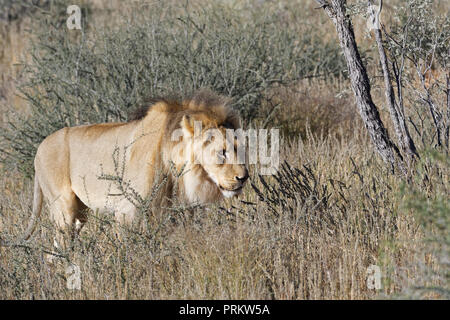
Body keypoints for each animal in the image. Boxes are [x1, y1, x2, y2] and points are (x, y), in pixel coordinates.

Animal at [1, 90, 248, 248]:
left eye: (241, 148)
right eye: (222, 152)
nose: (243, 178)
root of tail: (39, 147)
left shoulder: (166, 214)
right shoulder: (127, 212)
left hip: (80, 213)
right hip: (64, 207)